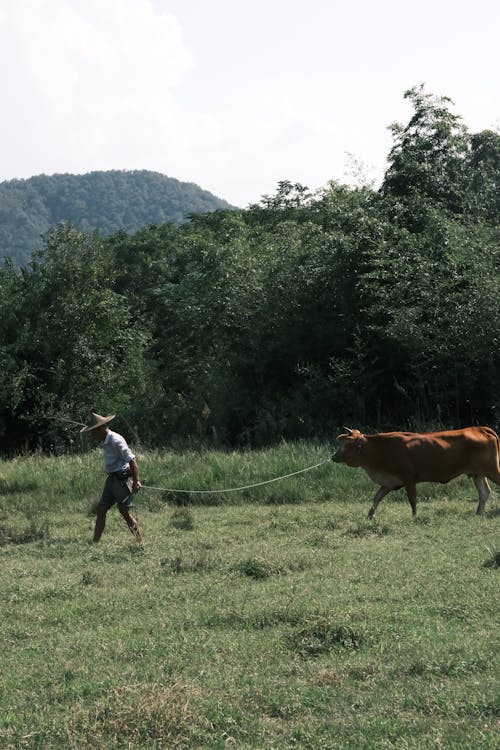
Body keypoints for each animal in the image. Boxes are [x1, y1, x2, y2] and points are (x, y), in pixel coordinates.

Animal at [332, 426, 500, 520]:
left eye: (345, 444)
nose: (333, 456)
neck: (380, 449)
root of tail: (479, 428)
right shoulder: (389, 483)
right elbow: (376, 498)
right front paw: (369, 516)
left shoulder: (409, 479)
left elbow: (412, 500)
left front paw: (414, 517)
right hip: (478, 474)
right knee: (484, 493)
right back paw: (478, 513)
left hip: (492, 470)